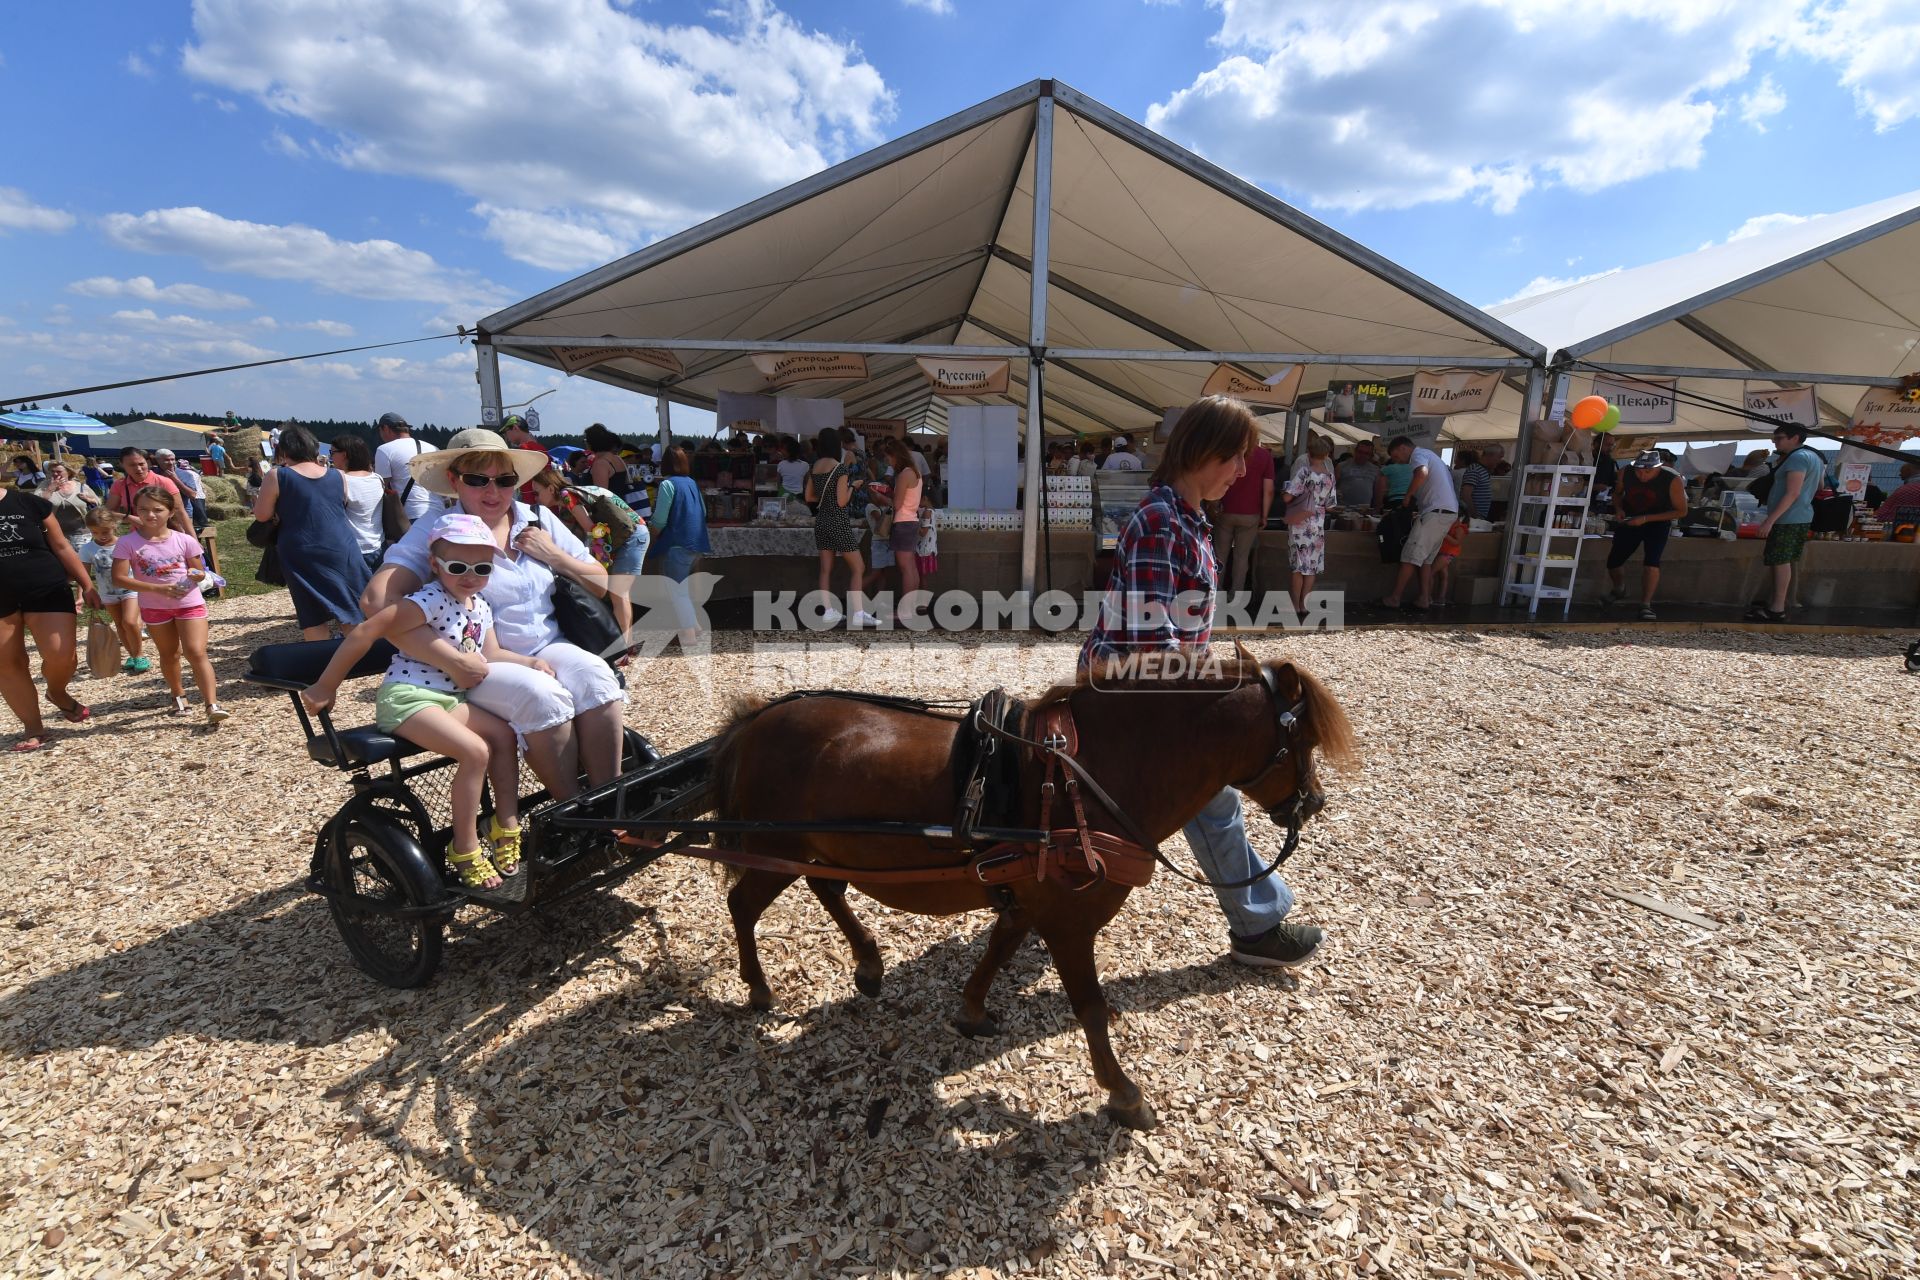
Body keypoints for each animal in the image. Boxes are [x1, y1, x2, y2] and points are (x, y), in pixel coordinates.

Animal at [702, 656, 1351, 1128]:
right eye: (1300, 744)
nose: (1314, 802)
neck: (1085, 779)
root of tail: (752, 724)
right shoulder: (1067, 920)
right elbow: (1089, 1006)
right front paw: (1124, 1093)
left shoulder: (1029, 897)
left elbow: (1000, 947)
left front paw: (971, 1009)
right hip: (775, 846)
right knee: (744, 904)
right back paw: (759, 987)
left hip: (814, 846)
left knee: (826, 884)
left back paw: (867, 961)